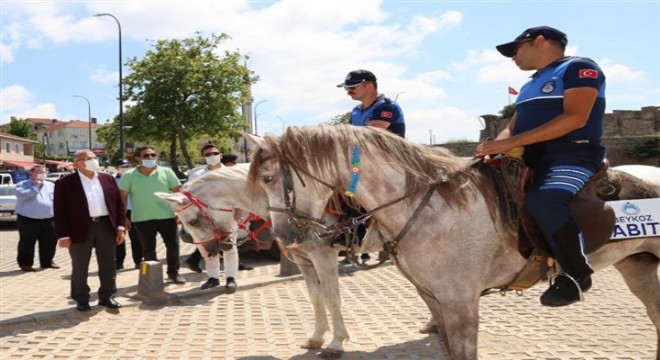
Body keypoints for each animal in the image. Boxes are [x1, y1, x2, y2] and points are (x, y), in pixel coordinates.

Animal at [245, 126, 656, 360]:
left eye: (269, 177)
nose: (284, 238)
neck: (432, 206)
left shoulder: (461, 303)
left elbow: (329, 298)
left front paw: (333, 343)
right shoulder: (437, 298)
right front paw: (321, 339)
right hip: (638, 267)